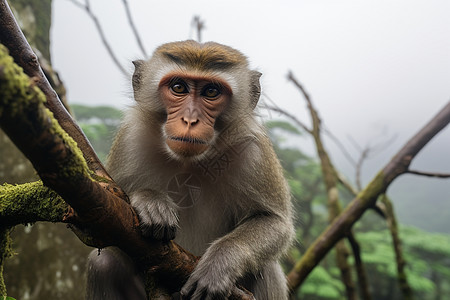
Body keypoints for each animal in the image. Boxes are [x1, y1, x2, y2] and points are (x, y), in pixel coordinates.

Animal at [86, 40, 296, 300]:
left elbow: (274, 222)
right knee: (103, 264)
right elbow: (103, 228)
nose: (189, 120)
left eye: (211, 92)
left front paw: (220, 263)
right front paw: (150, 201)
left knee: (266, 267)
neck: (189, 162)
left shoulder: (254, 152)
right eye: (178, 87)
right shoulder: (130, 139)